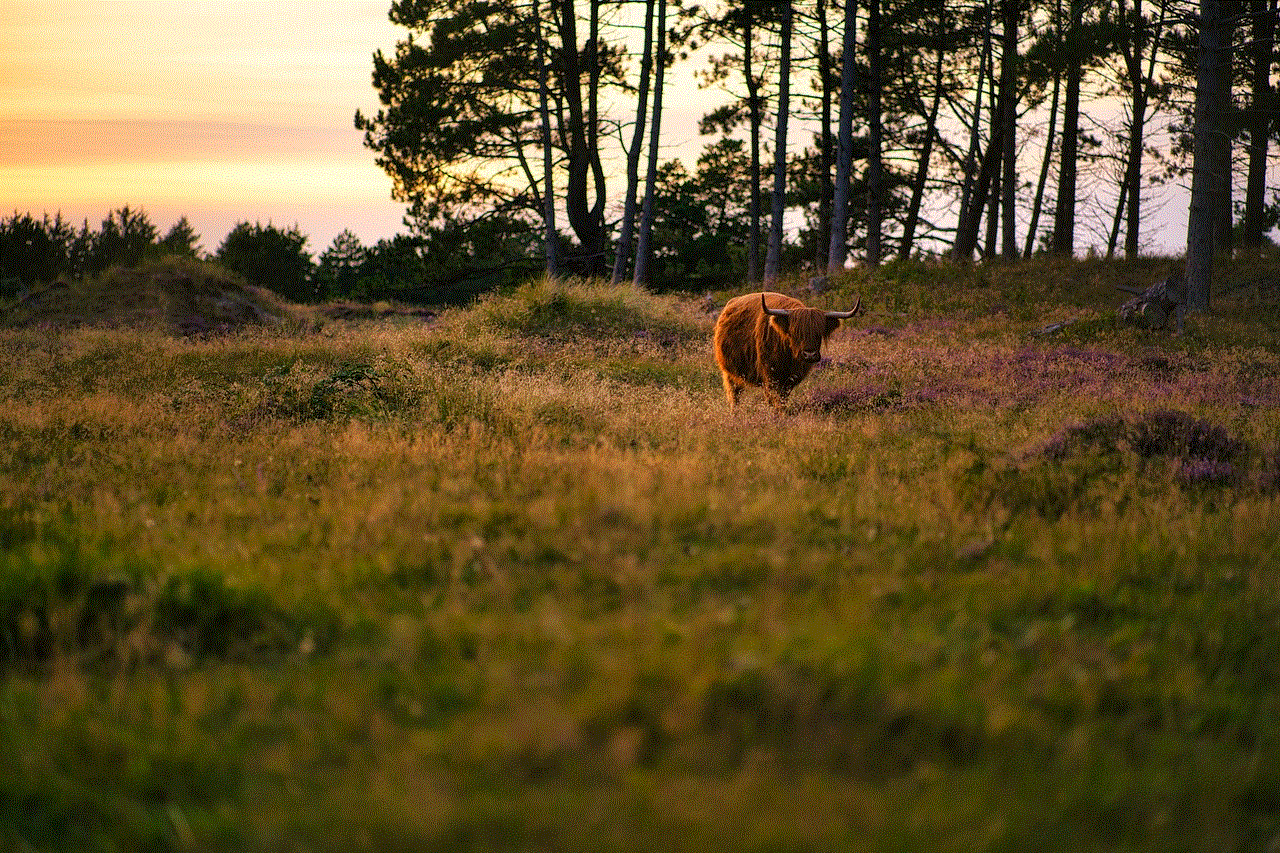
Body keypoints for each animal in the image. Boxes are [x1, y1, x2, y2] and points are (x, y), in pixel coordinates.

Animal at [711, 290, 860, 409]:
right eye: (796, 333)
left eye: (818, 333)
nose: (810, 354)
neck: (789, 356)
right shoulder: (770, 375)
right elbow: (774, 399)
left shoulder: (790, 380)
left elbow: (782, 399)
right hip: (729, 373)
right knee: (734, 395)